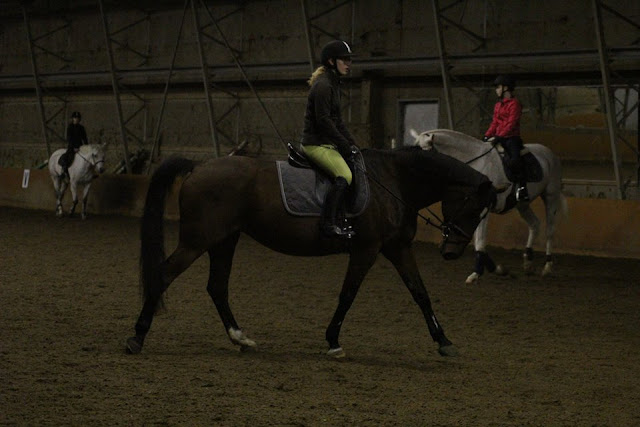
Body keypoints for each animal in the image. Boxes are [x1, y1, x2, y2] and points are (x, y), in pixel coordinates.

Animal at [125, 147, 497, 358]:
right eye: (470, 207)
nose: (451, 252)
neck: (393, 183)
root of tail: (197, 166)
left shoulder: (397, 247)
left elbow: (420, 293)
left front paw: (444, 341)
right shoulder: (367, 249)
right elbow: (348, 295)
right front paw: (333, 341)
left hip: (224, 241)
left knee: (217, 286)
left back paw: (241, 339)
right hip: (198, 241)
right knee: (164, 275)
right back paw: (137, 338)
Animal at [410, 129, 567, 284]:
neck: (476, 164)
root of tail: (549, 153)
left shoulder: (482, 210)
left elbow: (479, 241)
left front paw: (477, 273)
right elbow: (473, 238)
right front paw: (498, 269)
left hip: (551, 196)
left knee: (549, 230)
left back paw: (547, 267)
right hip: (522, 205)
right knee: (534, 224)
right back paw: (528, 263)